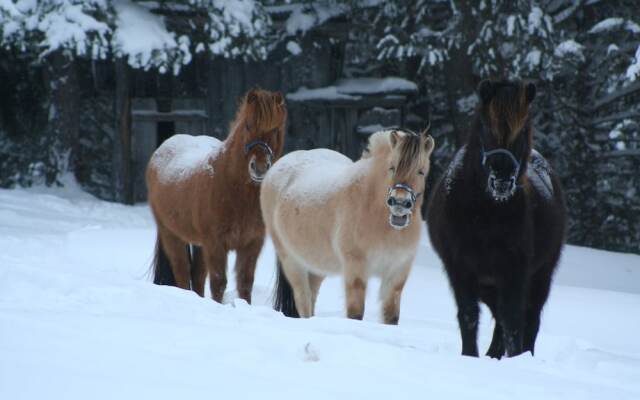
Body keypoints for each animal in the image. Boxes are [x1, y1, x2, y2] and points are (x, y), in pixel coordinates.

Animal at [148, 88, 288, 304]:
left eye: (275, 129)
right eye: (248, 125)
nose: (259, 168)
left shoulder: (252, 243)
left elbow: (245, 282)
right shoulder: (215, 243)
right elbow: (218, 282)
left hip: (199, 244)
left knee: (197, 275)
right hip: (171, 234)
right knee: (182, 272)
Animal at [260, 130, 436, 324]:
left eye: (421, 171)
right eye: (392, 167)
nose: (399, 203)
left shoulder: (397, 273)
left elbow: (391, 317)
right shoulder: (355, 267)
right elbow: (355, 313)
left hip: (316, 266)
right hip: (291, 261)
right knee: (303, 301)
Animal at [428, 79, 568, 358]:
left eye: (523, 131)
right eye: (485, 127)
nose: (502, 180)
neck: (484, 216)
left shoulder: (514, 270)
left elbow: (513, 320)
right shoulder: (460, 268)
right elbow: (469, 316)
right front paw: (469, 356)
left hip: (540, 276)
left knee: (529, 319)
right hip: (489, 285)